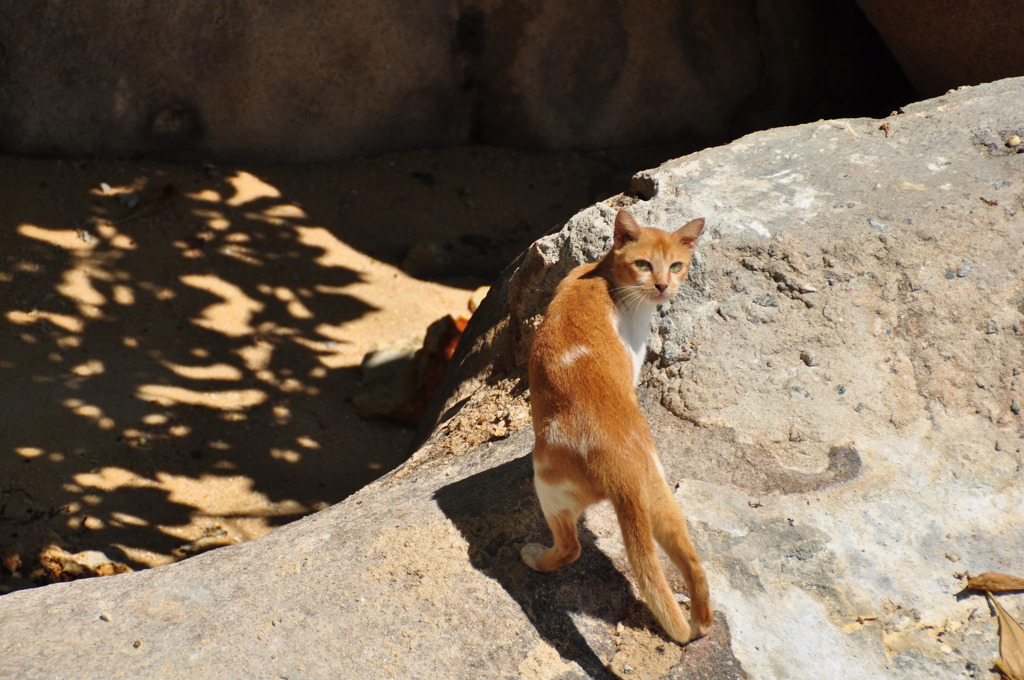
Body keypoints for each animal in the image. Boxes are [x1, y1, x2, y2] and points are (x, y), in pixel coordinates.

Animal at [520, 209, 712, 647]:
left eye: (676, 266)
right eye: (644, 264)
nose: (663, 285)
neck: (604, 276)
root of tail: (621, 462)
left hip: (546, 485)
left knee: (570, 548)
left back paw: (534, 557)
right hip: (659, 499)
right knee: (695, 567)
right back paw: (698, 625)